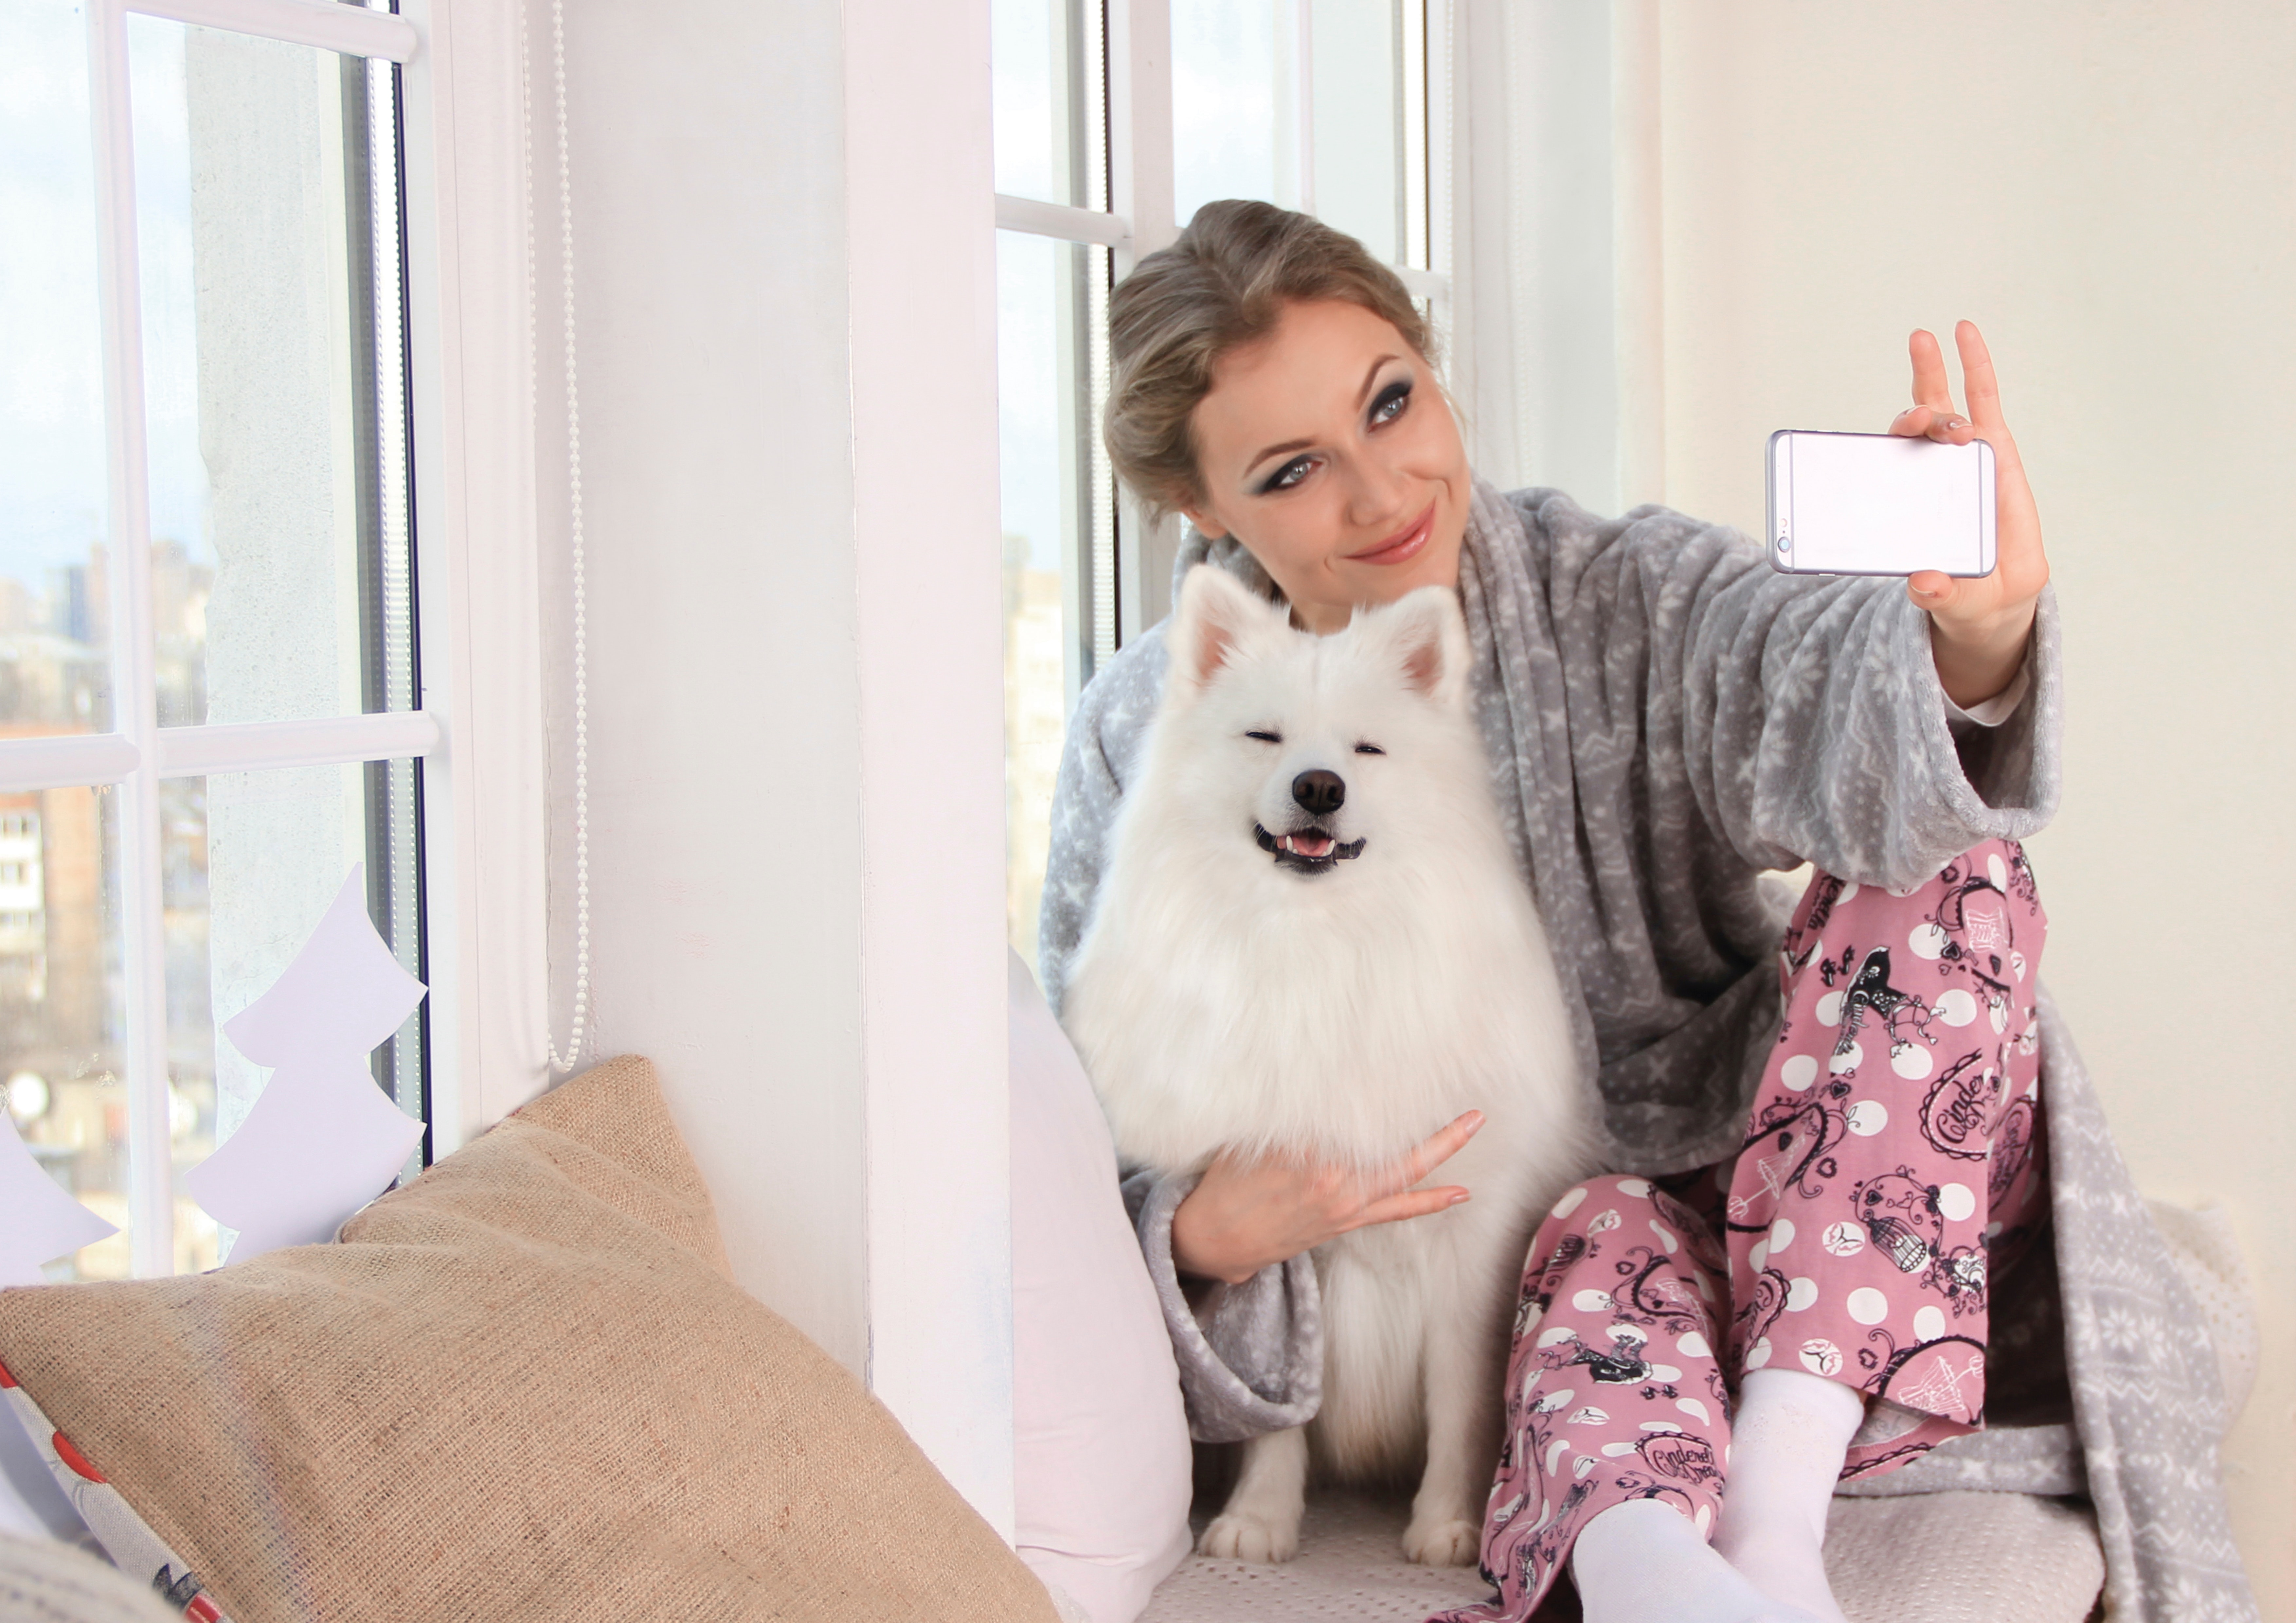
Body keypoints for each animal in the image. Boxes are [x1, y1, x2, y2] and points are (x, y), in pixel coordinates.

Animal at [1061, 565, 1589, 1570]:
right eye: (1263, 736)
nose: (1318, 785)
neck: (1317, 942)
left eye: (1366, 749)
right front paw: (1261, 1519)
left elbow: (1460, 1400)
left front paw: (1449, 1523)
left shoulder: (1471, 1244)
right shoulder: (1279, 1231)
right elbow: (1279, 1402)